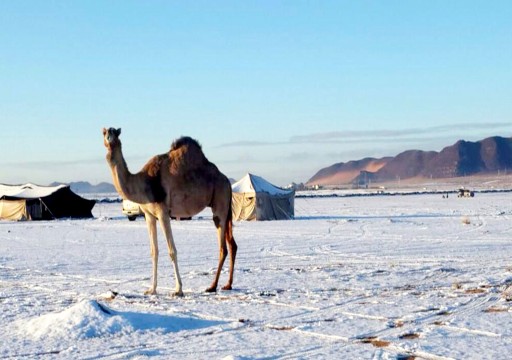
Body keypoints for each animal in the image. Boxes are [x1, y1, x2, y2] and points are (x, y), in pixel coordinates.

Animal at [102, 128, 238, 296]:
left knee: (223, 248)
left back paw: (212, 286)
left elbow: (172, 250)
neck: (144, 183)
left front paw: (178, 290)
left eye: (116, 133)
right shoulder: (149, 215)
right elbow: (154, 251)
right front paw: (151, 289)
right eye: (104, 133)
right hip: (226, 208)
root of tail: (227, 182)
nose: (109, 138)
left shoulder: (163, 213)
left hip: (220, 202)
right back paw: (227, 285)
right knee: (232, 244)